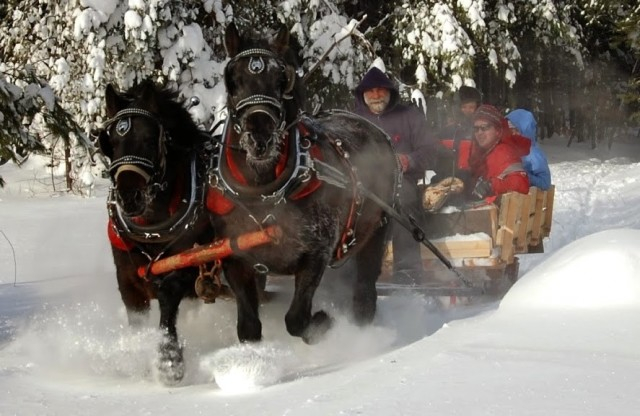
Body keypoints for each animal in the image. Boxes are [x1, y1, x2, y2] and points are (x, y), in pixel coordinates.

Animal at [97, 79, 212, 386]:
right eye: (111, 143)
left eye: (150, 140)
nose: (129, 197)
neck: (151, 230)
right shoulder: (128, 281)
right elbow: (136, 320)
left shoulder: (191, 263)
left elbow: (168, 296)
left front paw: (169, 361)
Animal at [208, 23, 400, 344]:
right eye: (232, 80)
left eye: (280, 79)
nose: (260, 137)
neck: (263, 192)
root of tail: (374, 128)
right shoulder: (234, 258)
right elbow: (249, 327)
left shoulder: (316, 253)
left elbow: (296, 320)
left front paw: (324, 321)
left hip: (377, 229)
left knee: (365, 290)